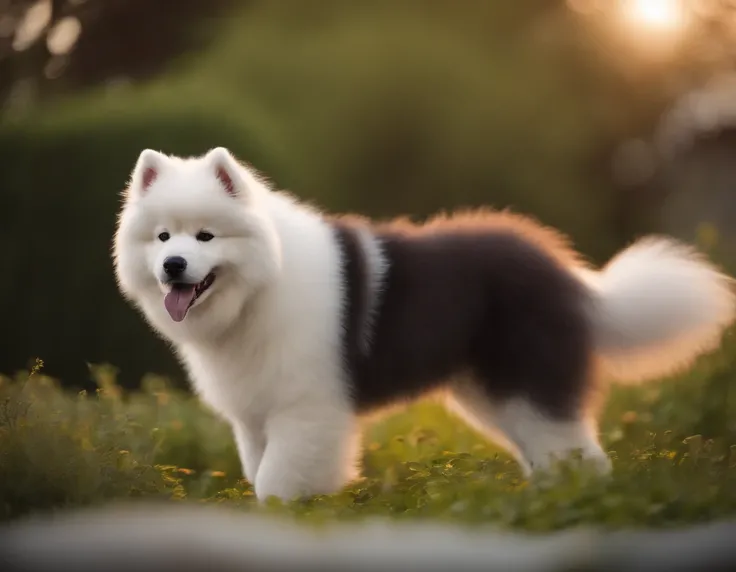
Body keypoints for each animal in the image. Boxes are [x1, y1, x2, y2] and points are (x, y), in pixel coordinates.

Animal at [110, 147, 736, 500]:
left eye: (205, 236)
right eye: (162, 237)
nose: (173, 265)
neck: (260, 290)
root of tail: (569, 276)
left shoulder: (306, 410)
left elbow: (277, 483)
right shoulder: (256, 415)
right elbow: (258, 471)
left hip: (525, 379)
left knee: (579, 454)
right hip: (490, 394)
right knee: (551, 453)